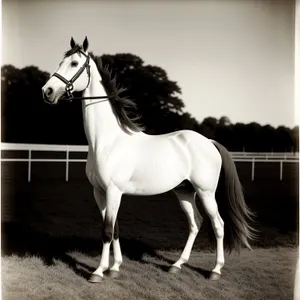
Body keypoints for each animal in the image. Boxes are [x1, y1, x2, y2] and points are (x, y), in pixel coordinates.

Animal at [41, 36, 254, 282]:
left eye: (74, 63)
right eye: (61, 61)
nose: (47, 91)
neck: (106, 142)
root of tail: (209, 142)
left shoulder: (114, 192)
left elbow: (106, 231)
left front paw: (98, 271)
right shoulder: (100, 192)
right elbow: (114, 229)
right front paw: (114, 267)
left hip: (206, 192)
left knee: (218, 224)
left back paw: (215, 270)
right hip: (184, 192)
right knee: (195, 223)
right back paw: (177, 265)